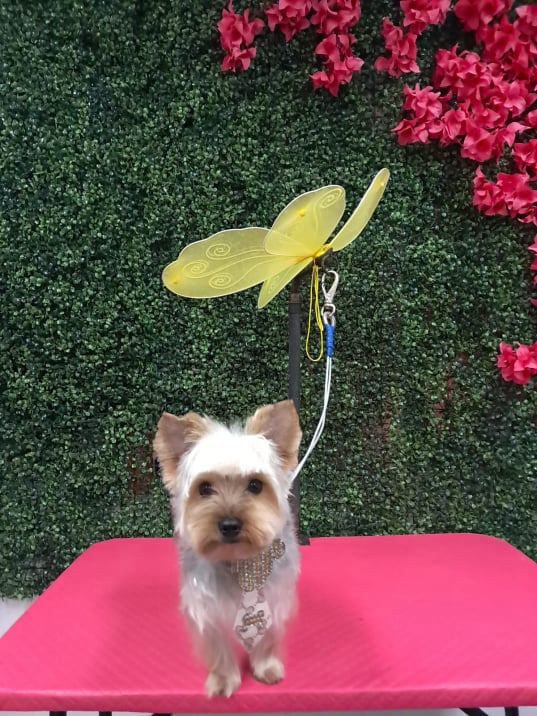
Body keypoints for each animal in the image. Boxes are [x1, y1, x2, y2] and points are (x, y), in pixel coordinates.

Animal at [154, 399, 302, 697]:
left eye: (255, 484)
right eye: (204, 487)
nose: (230, 524)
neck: (239, 560)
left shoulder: (275, 597)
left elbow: (267, 635)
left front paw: (266, 667)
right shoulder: (205, 605)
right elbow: (218, 645)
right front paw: (223, 680)